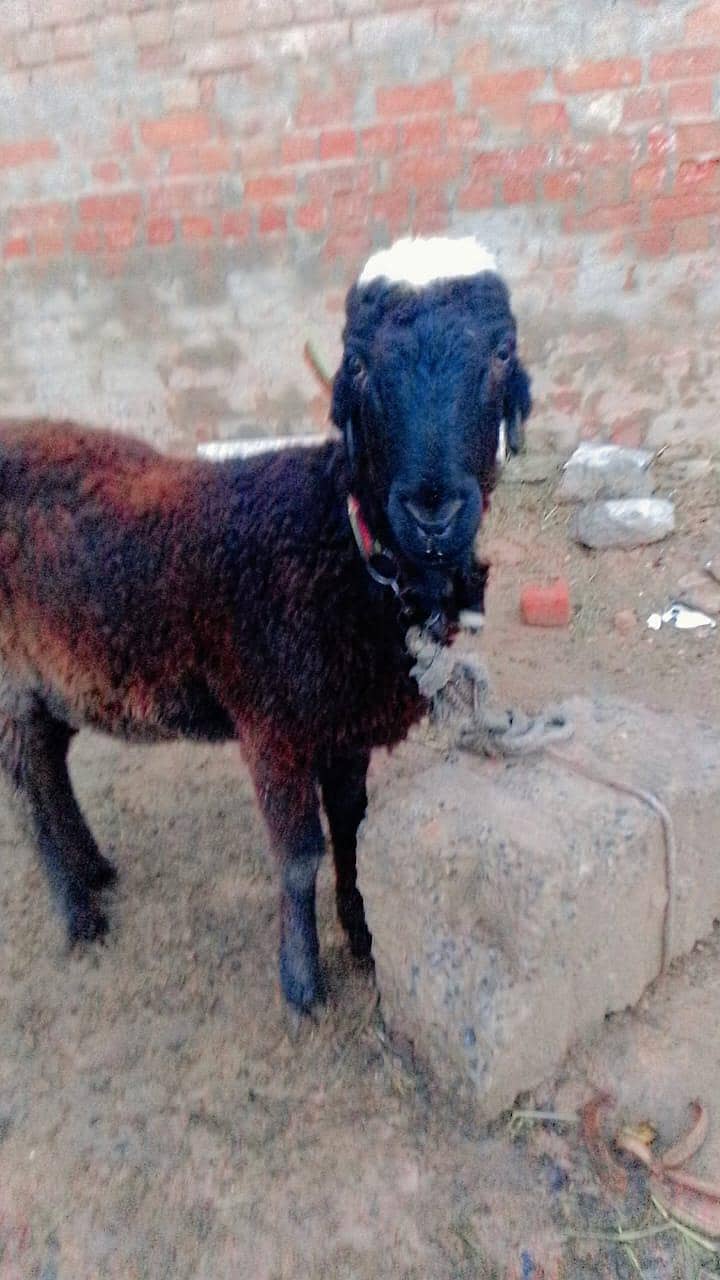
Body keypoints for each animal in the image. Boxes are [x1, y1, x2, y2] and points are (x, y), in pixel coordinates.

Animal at [0, 235, 531, 1012]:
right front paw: (303, 985)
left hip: (65, 673)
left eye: (501, 352)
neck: (342, 543)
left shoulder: (342, 722)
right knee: (27, 779)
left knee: (49, 759)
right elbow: (300, 855)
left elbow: (351, 829)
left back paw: (95, 871)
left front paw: (363, 935)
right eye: (358, 363)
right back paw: (79, 915)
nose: (432, 510)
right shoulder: (271, 721)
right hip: (10, 675)